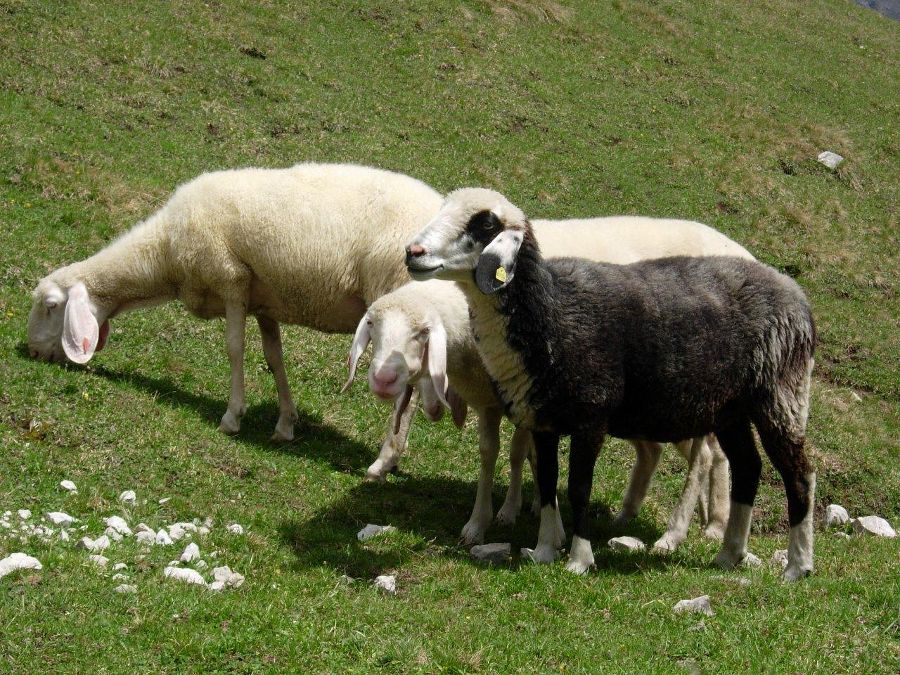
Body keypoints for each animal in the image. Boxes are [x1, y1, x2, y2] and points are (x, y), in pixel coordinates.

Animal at [29, 164, 446, 444]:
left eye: (50, 305)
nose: (31, 352)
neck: (166, 252)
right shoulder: (265, 301)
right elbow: (274, 357)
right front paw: (285, 423)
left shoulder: (230, 279)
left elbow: (234, 349)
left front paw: (232, 416)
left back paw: (386, 454)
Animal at [408, 187, 816, 580]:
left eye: (485, 223)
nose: (413, 253)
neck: (549, 311)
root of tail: (795, 295)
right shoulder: (543, 420)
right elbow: (547, 482)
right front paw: (543, 550)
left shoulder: (591, 416)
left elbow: (578, 488)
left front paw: (580, 559)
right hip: (731, 409)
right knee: (748, 468)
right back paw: (729, 556)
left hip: (782, 394)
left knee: (798, 474)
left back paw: (797, 565)